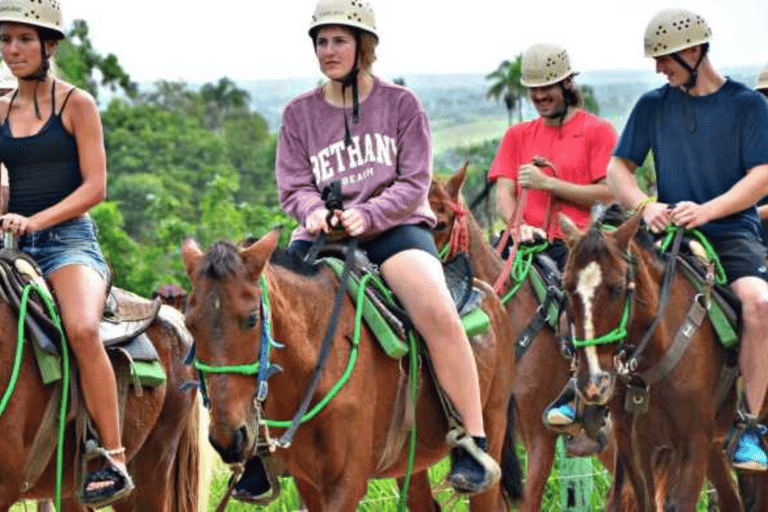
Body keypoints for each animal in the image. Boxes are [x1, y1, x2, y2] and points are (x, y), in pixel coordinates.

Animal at [180, 232, 516, 512]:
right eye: (189, 323)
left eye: (251, 319)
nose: (228, 438)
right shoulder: (308, 482)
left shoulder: (346, 483)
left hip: (493, 428)